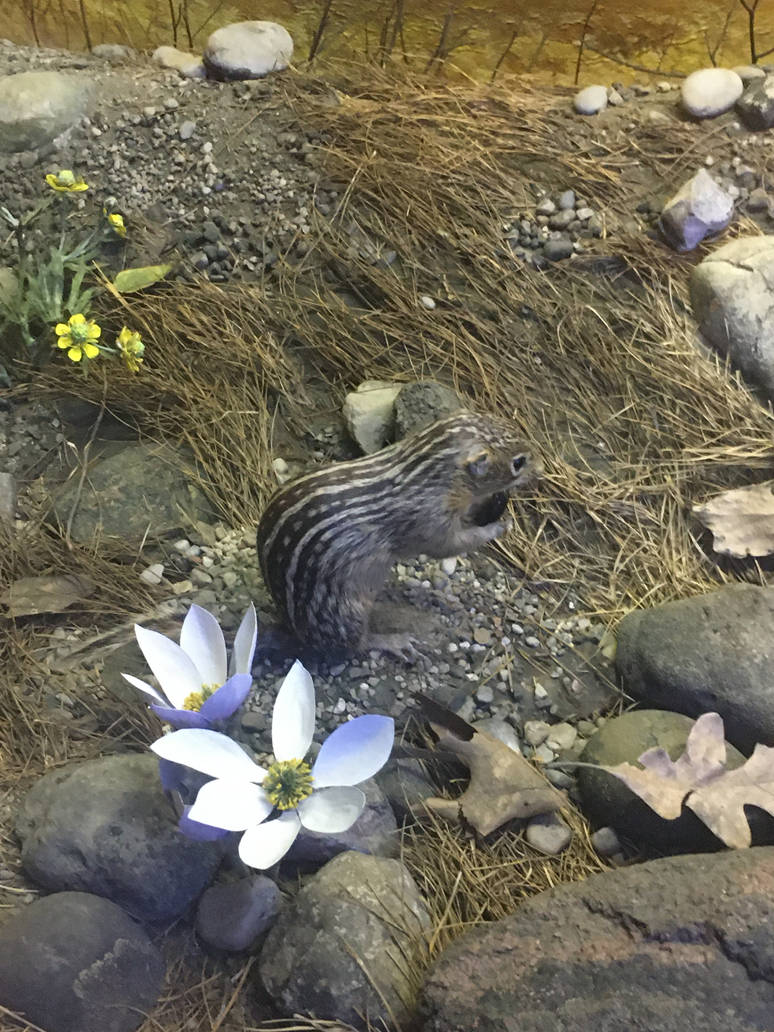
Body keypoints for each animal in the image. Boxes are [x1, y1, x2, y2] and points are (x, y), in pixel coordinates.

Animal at [256, 412, 539, 657]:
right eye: (519, 462)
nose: (541, 469)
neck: (426, 471)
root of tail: (294, 631)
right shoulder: (431, 522)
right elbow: (452, 544)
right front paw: (501, 525)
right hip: (345, 613)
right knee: (356, 645)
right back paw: (395, 642)